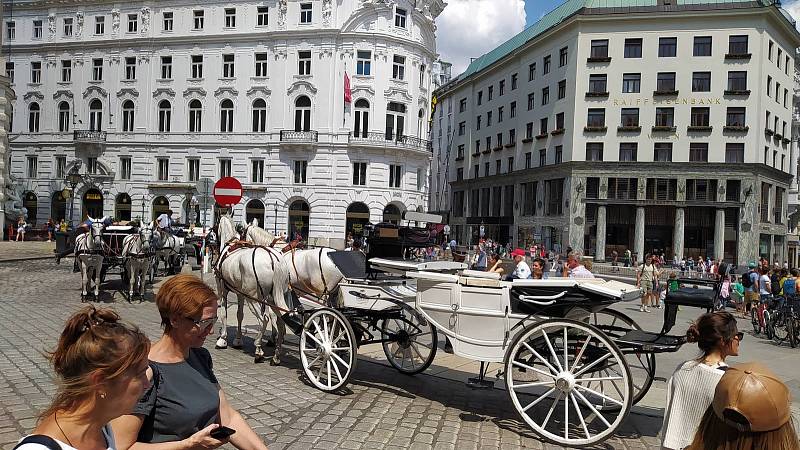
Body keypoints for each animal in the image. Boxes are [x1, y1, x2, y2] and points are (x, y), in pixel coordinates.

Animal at [214, 215, 292, 366]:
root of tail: (274, 260)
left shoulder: (222, 290)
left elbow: (223, 314)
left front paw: (222, 339)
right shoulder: (240, 294)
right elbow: (239, 315)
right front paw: (238, 340)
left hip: (253, 298)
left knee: (264, 319)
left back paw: (258, 349)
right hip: (275, 297)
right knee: (280, 321)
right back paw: (276, 355)